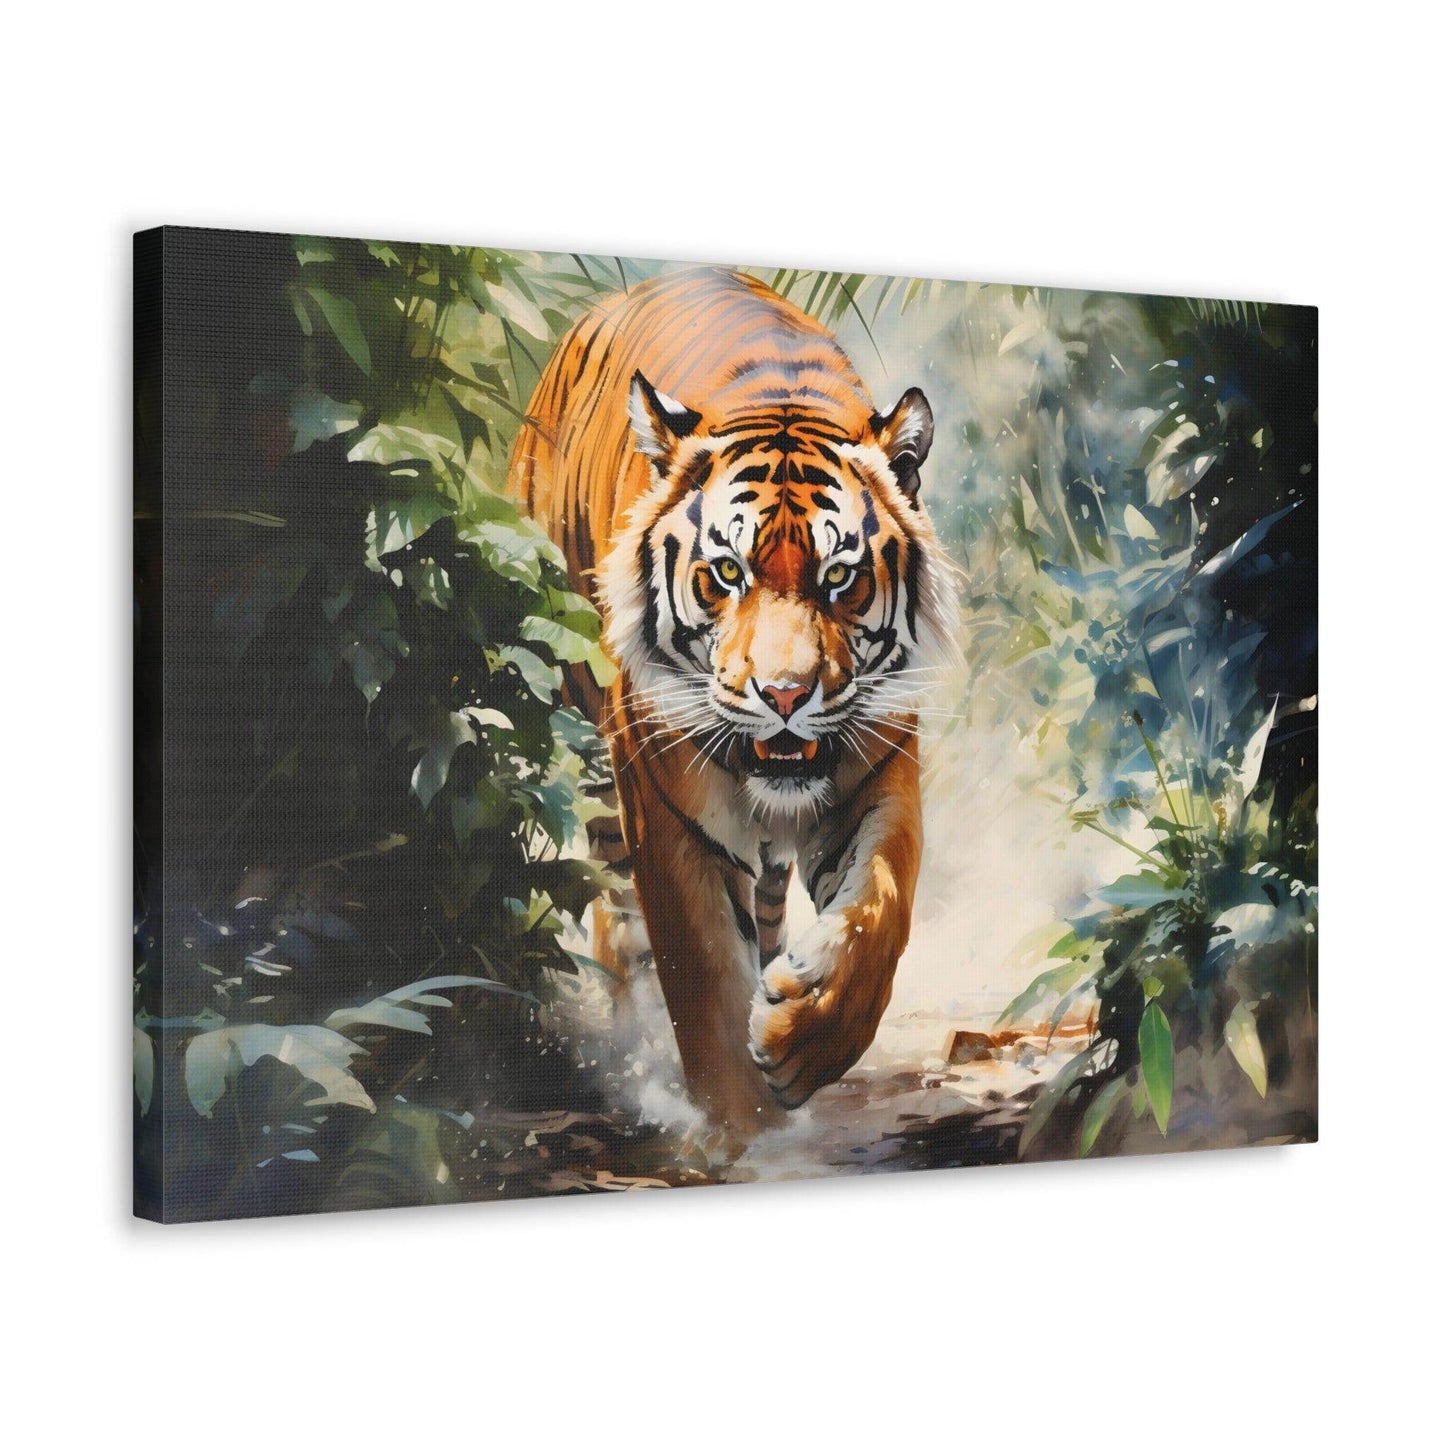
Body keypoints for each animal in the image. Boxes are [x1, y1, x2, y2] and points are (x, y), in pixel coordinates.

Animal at [507, 267, 955, 1137]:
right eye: (726, 573)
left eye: (838, 577)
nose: (783, 694)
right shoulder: (668, 814)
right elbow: (705, 982)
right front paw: (743, 1131)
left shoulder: (877, 770)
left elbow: (881, 908)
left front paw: (799, 1036)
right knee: (619, 926)